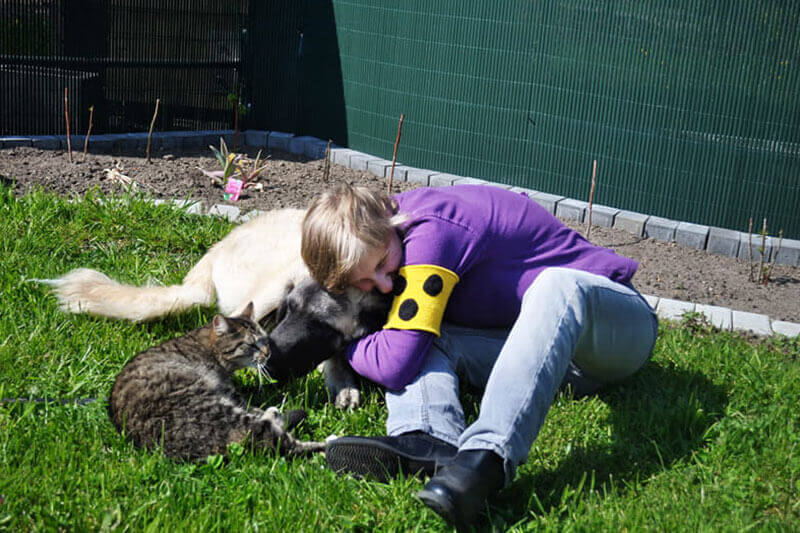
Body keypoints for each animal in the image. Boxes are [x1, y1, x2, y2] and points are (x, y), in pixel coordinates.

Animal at [108, 304, 326, 462]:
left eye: (264, 340)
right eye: (251, 344)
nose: (268, 353)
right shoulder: (231, 394)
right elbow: (254, 406)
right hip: (222, 411)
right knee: (284, 442)